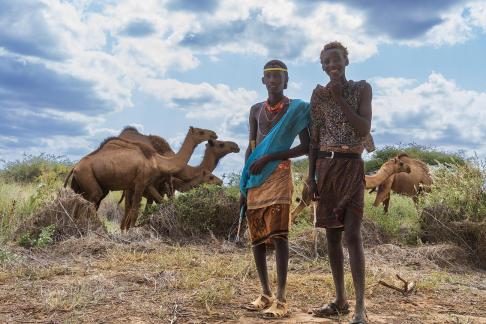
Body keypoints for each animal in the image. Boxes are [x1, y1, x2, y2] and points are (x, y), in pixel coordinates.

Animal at [64, 126, 216, 230]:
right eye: (200, 131)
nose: (213, 134)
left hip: (82, 184)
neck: (157, 161)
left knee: (83, 202)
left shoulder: (142, 185)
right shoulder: (139, 183)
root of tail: (75, 167)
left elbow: (144, 206)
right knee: (91, 202)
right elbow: (135, 211)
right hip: (88, 178)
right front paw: (131, 233)